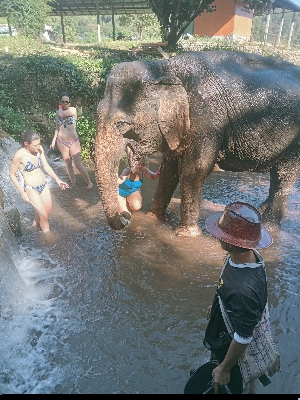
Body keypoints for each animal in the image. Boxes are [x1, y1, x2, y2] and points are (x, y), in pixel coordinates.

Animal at [94, 50, 300, 238]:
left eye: (121, 124)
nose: (126, 216)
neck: (163, 67)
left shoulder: (206, 120)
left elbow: (194, 169)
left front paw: (187, 235)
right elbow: (169, 168)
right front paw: (155, 218)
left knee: (284, 174)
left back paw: (269, 226)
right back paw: (259, 210)